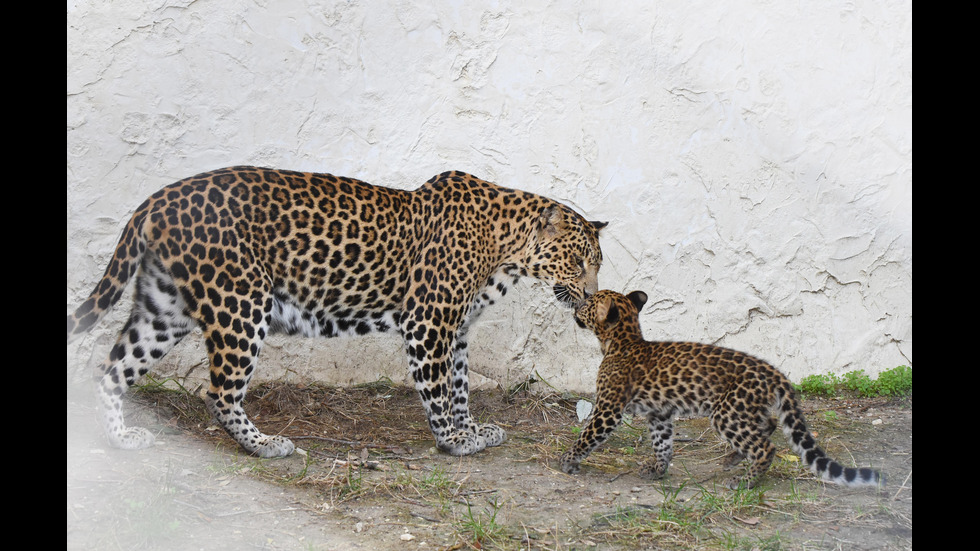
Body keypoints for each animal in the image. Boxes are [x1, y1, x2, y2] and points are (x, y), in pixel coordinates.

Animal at [67, 167, 604, 458]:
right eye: (579, 261)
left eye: (596, 263)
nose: (589, 297)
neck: (506, 249)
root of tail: (157, 200)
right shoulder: (429, 322)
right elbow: (437, 389)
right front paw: (454, 441)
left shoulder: (458, 329)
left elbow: (460, 386)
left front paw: (472, 429)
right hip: (242, 301)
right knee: (218, 392)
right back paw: (265, 445)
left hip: (165, 310)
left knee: (111, 371)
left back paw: (120, 439)